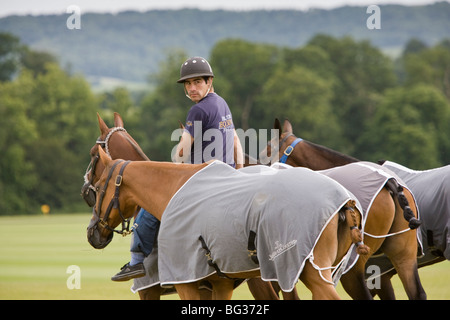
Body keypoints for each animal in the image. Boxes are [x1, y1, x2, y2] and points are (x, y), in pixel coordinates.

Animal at [87, 128, 370, 300]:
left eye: (99, 185)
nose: (91, 232)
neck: (172, 191)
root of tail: (345, 202)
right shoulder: (219, 284)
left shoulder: (177, 285)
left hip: (308, 273)